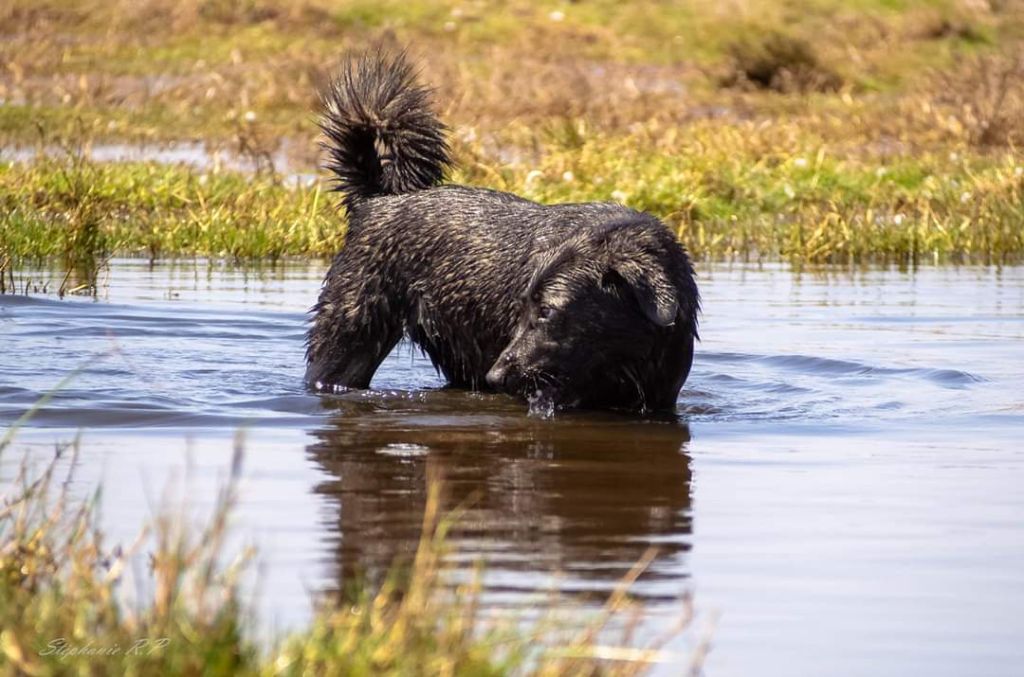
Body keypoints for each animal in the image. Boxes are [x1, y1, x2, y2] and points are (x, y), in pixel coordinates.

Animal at [303, 51, 700, 411]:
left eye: (547, 312)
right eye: (525, 309)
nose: (496, 377)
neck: (626, 355)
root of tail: (376, 200)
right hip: (346, 340)